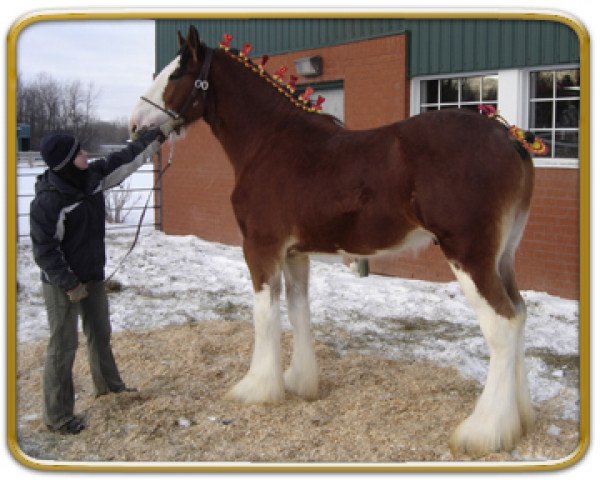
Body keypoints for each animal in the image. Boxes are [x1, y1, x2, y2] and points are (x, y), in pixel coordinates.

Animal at [130, 25, 536, 458]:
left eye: (176, 73)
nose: (135, 124)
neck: (269, 142)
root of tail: (509, 137)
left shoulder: (260, 248)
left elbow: (264, 315)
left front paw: (256, 388)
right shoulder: (294, 254)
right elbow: (297, 311)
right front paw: (298, 381)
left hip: (469, 257)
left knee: (503, 324)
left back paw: (483, 430)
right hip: (502, 257)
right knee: (520, 313)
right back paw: (520, 421)